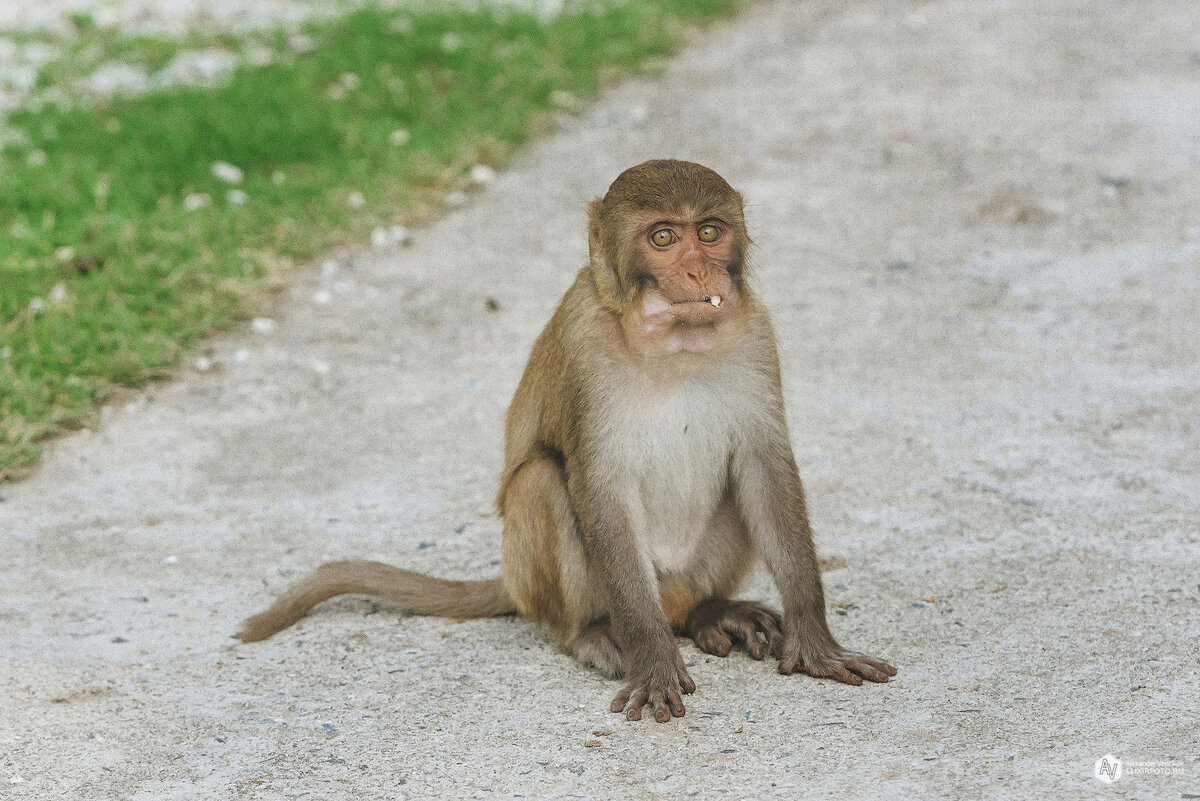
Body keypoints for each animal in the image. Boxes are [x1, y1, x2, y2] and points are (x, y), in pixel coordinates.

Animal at [238, 159, 892, 724]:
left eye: (709, 232)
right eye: (662, 238)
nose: (699, 273)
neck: (673, 346)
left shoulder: (756, 331)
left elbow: (763, 467)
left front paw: (816, 642)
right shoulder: (585, 346)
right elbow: (596, 484)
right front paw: (653, 660)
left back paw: (712, 611)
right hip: (561, 586)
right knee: (544, 483)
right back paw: (595, 633)